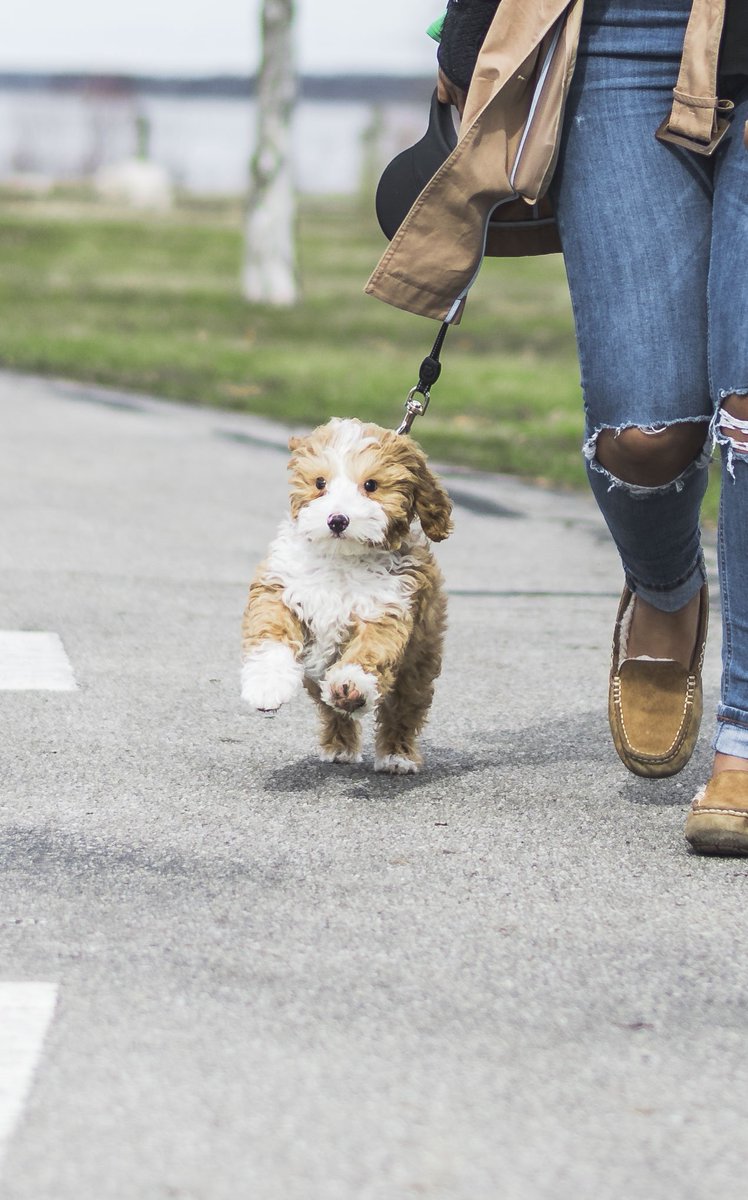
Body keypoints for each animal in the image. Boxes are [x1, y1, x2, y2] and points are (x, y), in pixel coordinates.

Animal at [241, 417, 451, 772]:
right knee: (330, 707)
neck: (342, 558)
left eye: (371, 485)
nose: (337, 520)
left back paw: (396, 754)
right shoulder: (280, 586)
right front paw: (266, 683)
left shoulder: (388, 606)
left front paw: (352, 684)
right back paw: (339, 745)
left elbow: (370, 651)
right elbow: (271, 631)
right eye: (319, 482)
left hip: (420, 656)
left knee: (405, 707)